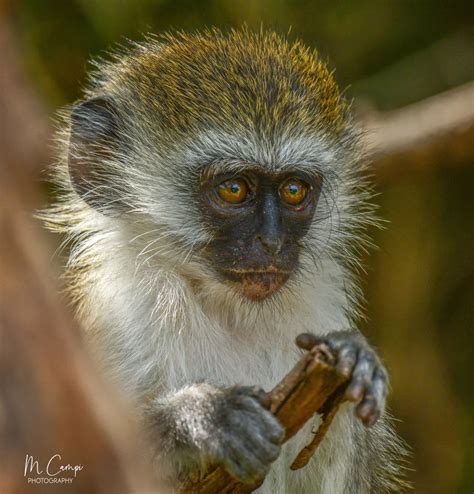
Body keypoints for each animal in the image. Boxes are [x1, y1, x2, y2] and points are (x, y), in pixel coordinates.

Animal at [43, 29, 408, 494]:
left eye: (294, 190)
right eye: (234, 189)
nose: (271, 242)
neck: (225, 308)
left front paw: (352, 359)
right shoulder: (118, 314)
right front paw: (202, 417)